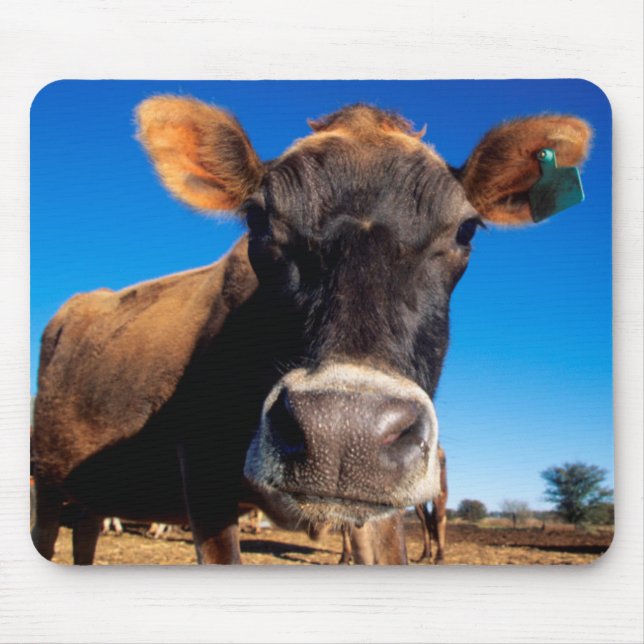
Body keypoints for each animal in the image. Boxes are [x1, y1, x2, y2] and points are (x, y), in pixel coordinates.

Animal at [31, 97, 591, 564]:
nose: (344, 431)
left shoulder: (380, 506)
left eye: (466, 229)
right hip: (46, 479)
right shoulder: (203, 477)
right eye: (257, 219)